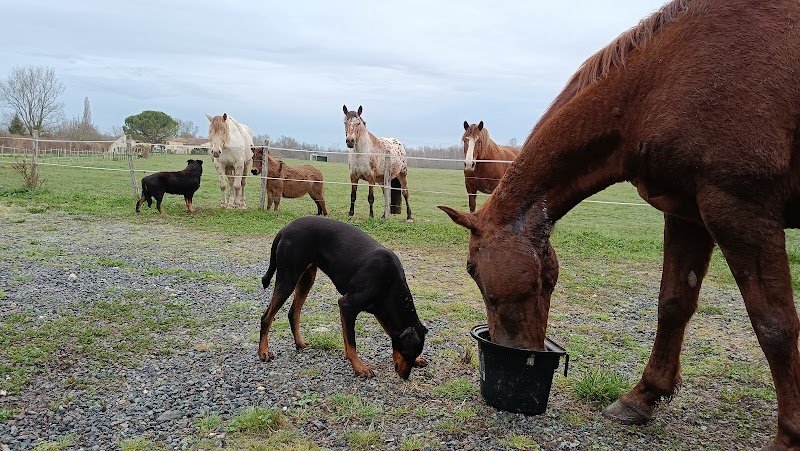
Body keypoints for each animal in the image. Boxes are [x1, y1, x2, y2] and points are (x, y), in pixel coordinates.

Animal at [439, 1, 800, 448]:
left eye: (473, 271)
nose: (518, 350)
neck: (660, 79)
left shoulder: (741, 209)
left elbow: (775, 327)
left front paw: (789, 434)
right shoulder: (687, 213)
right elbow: (673, 304)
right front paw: (642, 397)